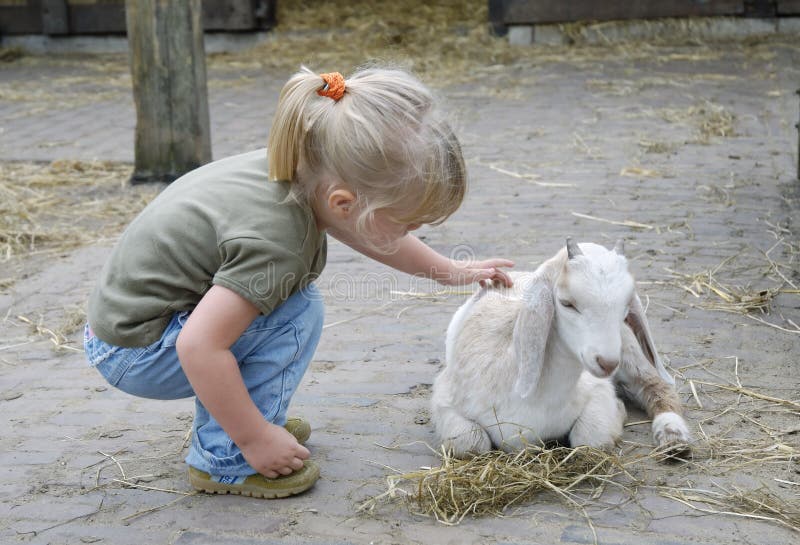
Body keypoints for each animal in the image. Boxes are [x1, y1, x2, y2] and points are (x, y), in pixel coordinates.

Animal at [430, 238, 691, 457]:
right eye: (567, 303)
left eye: (626, 306)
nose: (607, 362)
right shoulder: (444, 398)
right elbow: (470, 443)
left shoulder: (598, 389)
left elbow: (590, 439)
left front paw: (619, 410)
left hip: (629, 349)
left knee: (657, 386)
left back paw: (673, 435)